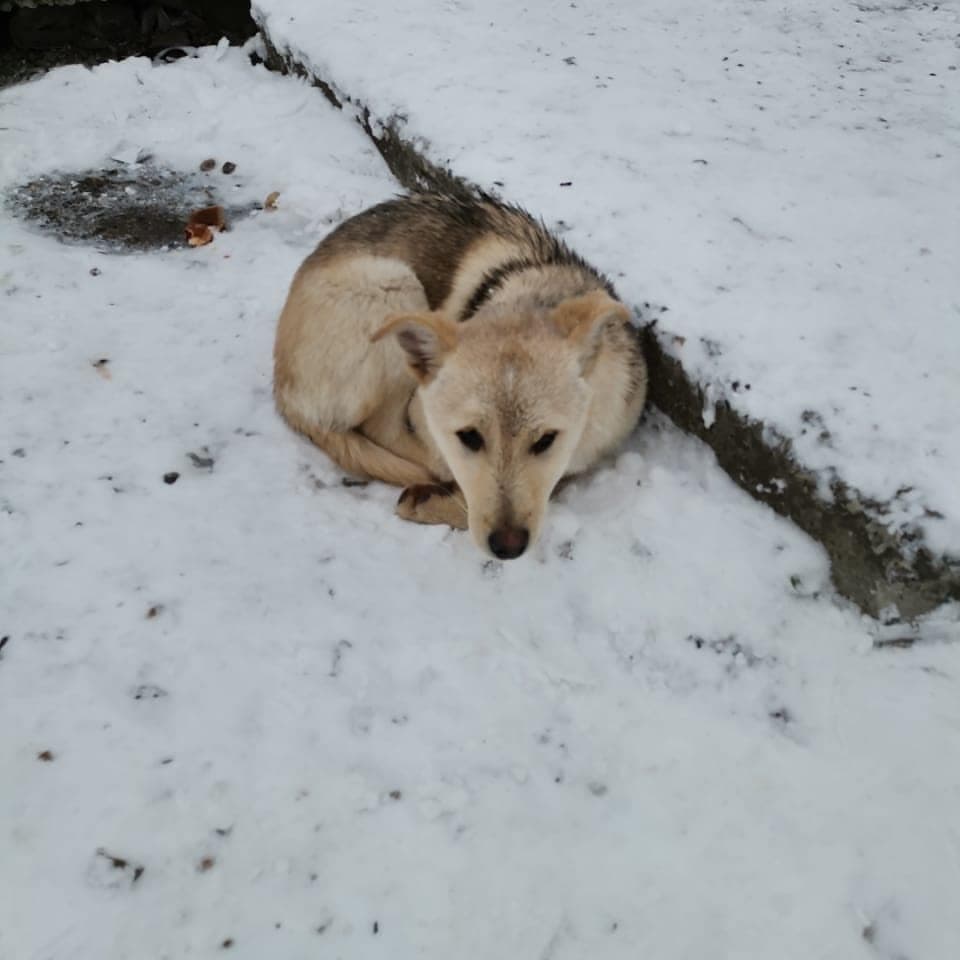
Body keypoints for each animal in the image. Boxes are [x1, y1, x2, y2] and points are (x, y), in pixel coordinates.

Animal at [272, 190, 644, 560]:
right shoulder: (423, 413)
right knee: (385, 429)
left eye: (545, 440)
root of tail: (282, 385)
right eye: (468, 437)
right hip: (393, 286)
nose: (508, 547)